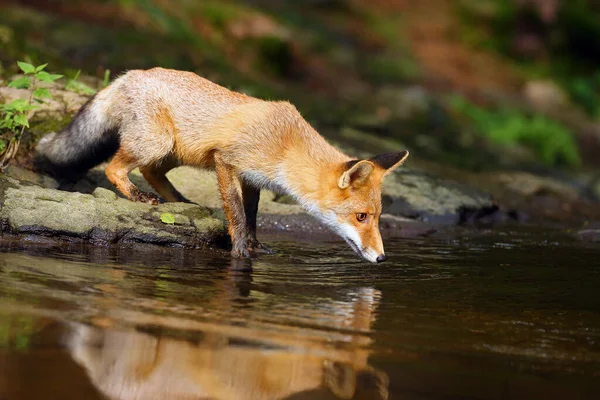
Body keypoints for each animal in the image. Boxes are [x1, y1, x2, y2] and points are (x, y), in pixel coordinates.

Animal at [36, 68, 408, 262]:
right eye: (361, 217)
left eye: (376, 217)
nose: (382, 258)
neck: (285, 146)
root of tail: (130, 74)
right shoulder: (226, 161)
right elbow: (237, 213)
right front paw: (241, 250)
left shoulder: (254, 179)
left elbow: (253, 215)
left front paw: (256, 245)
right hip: (157, 142)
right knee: (115, 168)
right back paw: (139, 197)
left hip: (174, 153)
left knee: (151, 172)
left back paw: (180, 202)